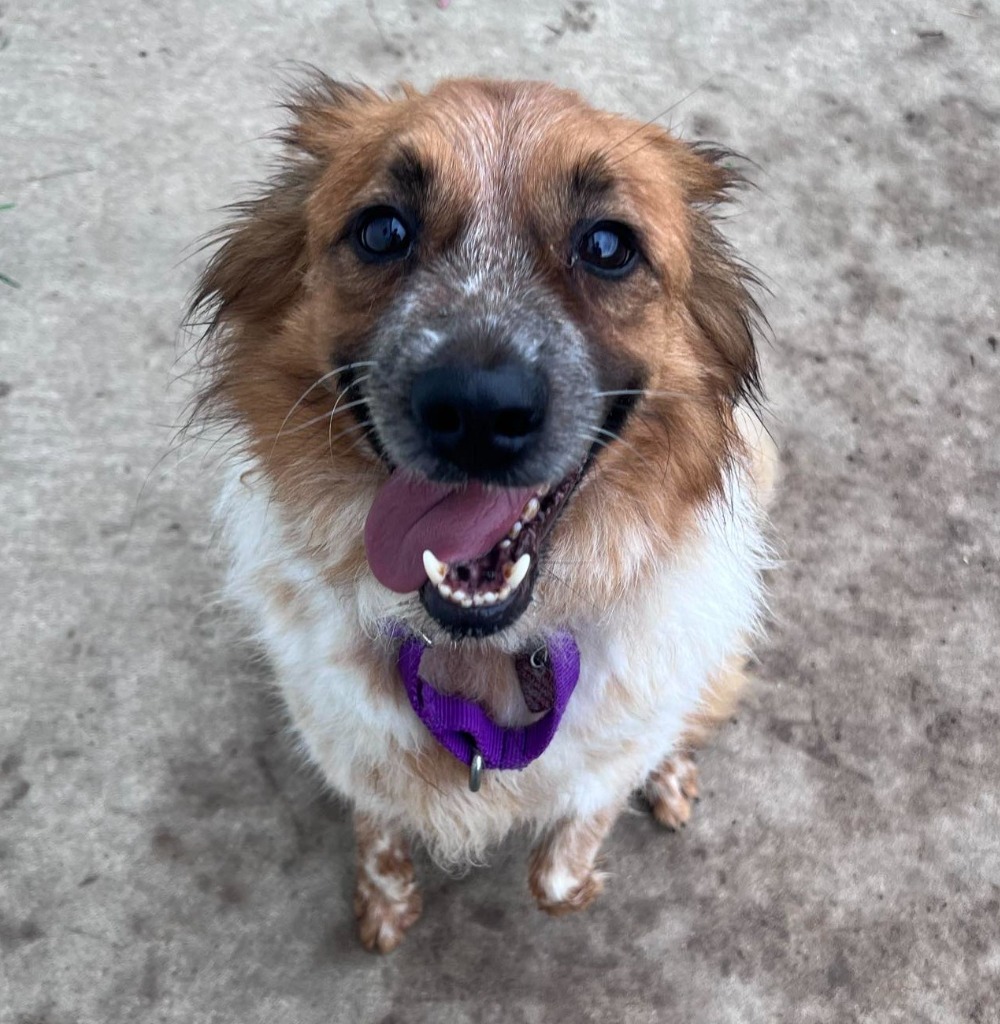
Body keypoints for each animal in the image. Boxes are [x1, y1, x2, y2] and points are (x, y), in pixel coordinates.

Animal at [189, 77, 781, 950]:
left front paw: (584, 867)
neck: (481, 652)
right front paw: (386, 903)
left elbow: (562, 869)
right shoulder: (343, 738)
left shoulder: (607, 756)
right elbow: (377, 826)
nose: (474, 410)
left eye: (609, 246)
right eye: (382, 230)